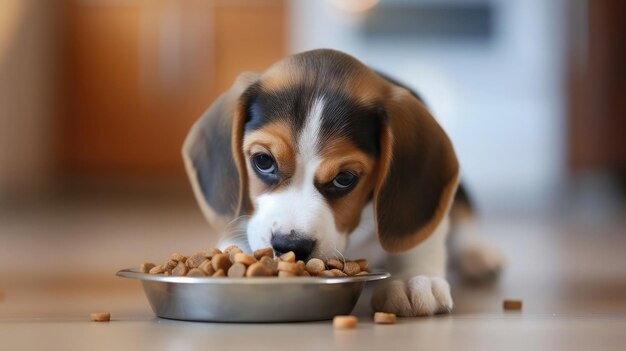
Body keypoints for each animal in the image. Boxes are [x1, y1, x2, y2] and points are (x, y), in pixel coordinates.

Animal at [182, 48, 502, 316]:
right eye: (263, 161)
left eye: (344, 178)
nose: (290, 246)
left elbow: (422, 238)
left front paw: (413, 279)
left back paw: (478, 255)